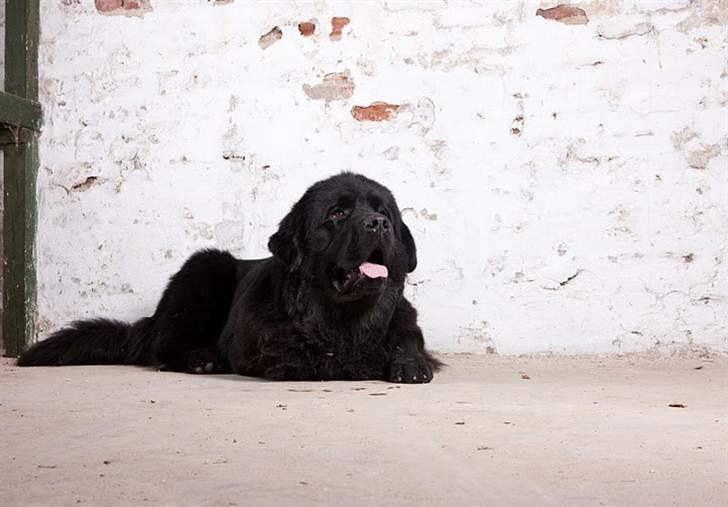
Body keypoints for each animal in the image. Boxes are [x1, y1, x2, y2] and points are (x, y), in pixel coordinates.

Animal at [19, 173, 440, 382]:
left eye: (384, 212)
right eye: (338, 213)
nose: (378, 224)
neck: (343, 318)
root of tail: (149, 322)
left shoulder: (404, 324)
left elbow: (408, 339)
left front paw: (410, 364)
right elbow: (294, 353)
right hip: (205, 266)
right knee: (164, 349)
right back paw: (201, 359)